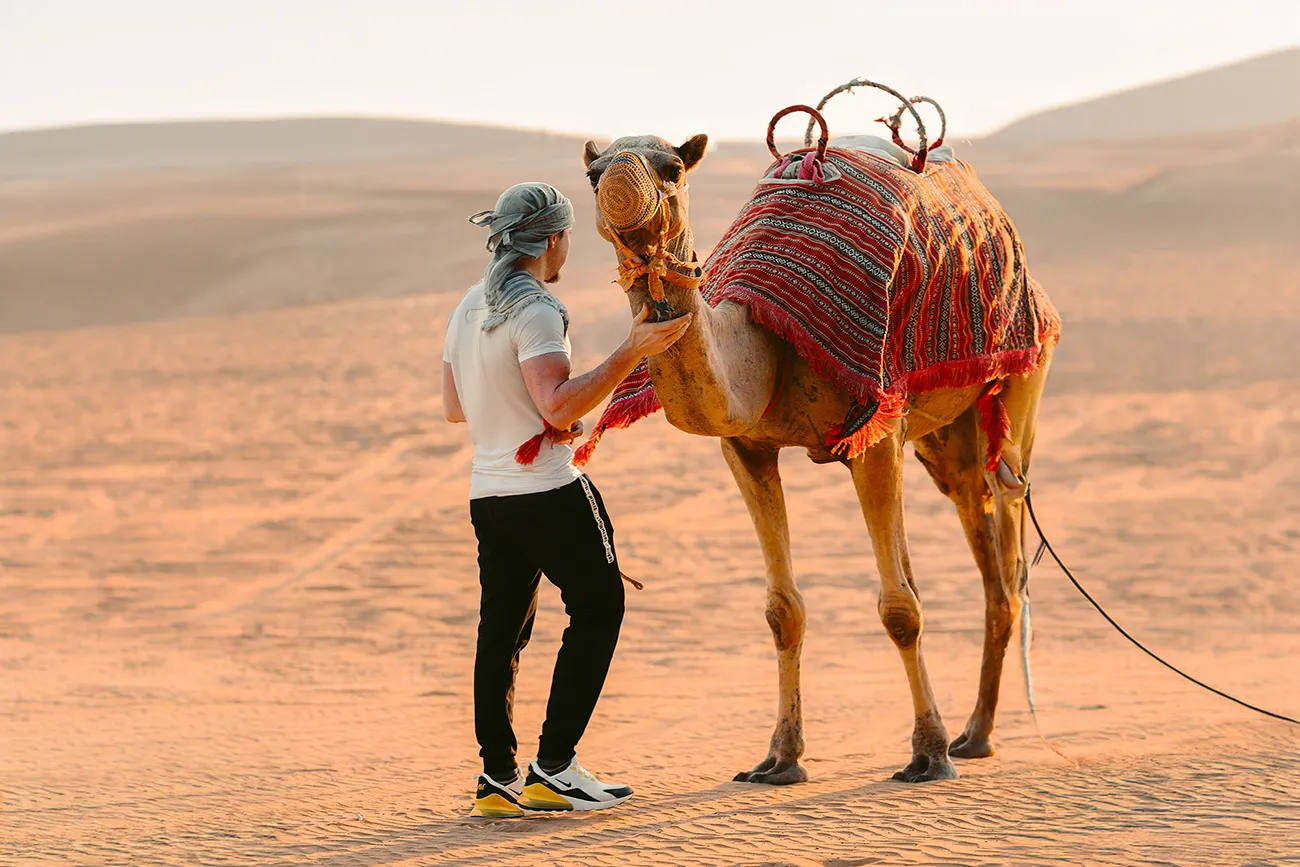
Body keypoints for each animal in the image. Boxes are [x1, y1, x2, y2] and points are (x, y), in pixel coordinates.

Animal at [579, 132, 1055, 784]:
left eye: (672, 167)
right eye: (592, 172)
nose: (620, 187)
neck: (763, 346)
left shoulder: (874, 430)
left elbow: (899, 608)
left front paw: (927, 754)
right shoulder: (746, 447)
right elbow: (784, 610)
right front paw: (780, 758)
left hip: (1019, 377)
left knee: (1008, 533)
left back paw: (972, 738)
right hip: (943, 441)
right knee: (978, 537)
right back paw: (975, 732)